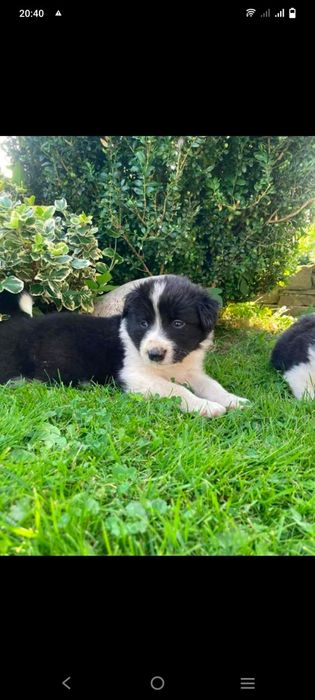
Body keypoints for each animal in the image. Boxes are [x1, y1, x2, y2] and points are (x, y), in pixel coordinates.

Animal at [0, 274, 249, 416]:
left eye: (178, 324)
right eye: (143, 323)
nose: (154, 354)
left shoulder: (190, 370)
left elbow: (212, 385)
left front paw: (234, 400)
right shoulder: (134, 376)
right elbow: (176, 390)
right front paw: (206, 407)